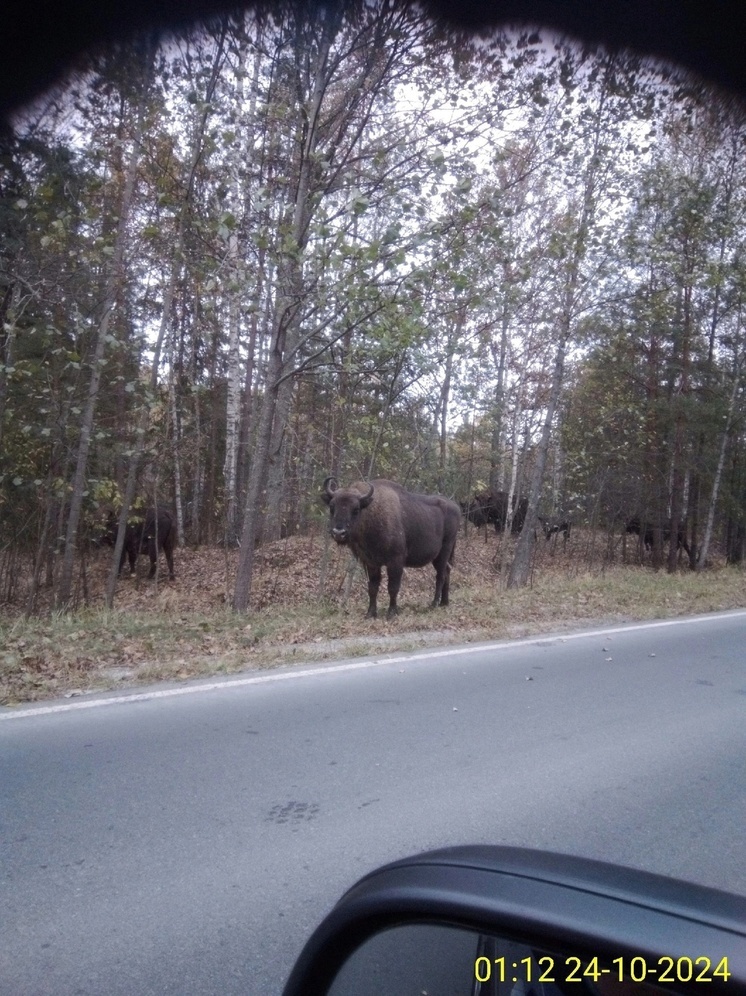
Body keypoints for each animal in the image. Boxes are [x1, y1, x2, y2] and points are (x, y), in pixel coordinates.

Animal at [320, 478, 460, 620]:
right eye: (332, 507)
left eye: (356, 509)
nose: (338, 533)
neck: (371, 511)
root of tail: (456, 507)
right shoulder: (371, 563)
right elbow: (373, 588)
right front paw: (370, 613)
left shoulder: (395, 562)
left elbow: (393, 587)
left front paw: (392, 613)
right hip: (441, 556)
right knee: (447, 571)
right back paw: (444, 602)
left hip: (443, 552)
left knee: (441, 575)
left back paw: (434, 603)